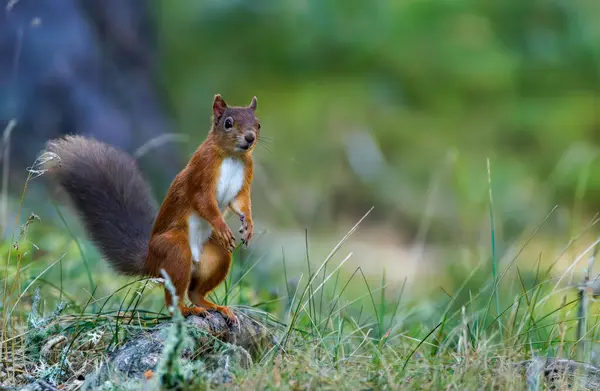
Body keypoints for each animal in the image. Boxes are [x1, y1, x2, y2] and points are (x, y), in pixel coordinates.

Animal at [45, 94, 262, 322]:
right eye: (228, 123)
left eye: (258, 124)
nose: (250, 138)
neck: (231, 156)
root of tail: (151, 260)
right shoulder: (201, 172)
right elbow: (203, 201)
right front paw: (222, 226)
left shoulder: (244, 178)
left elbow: (241, 203)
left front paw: (248, 225)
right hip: (175, 250)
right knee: (173, 299)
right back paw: (186, 310)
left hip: (216, 257)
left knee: (194, 292)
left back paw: (214, 307)